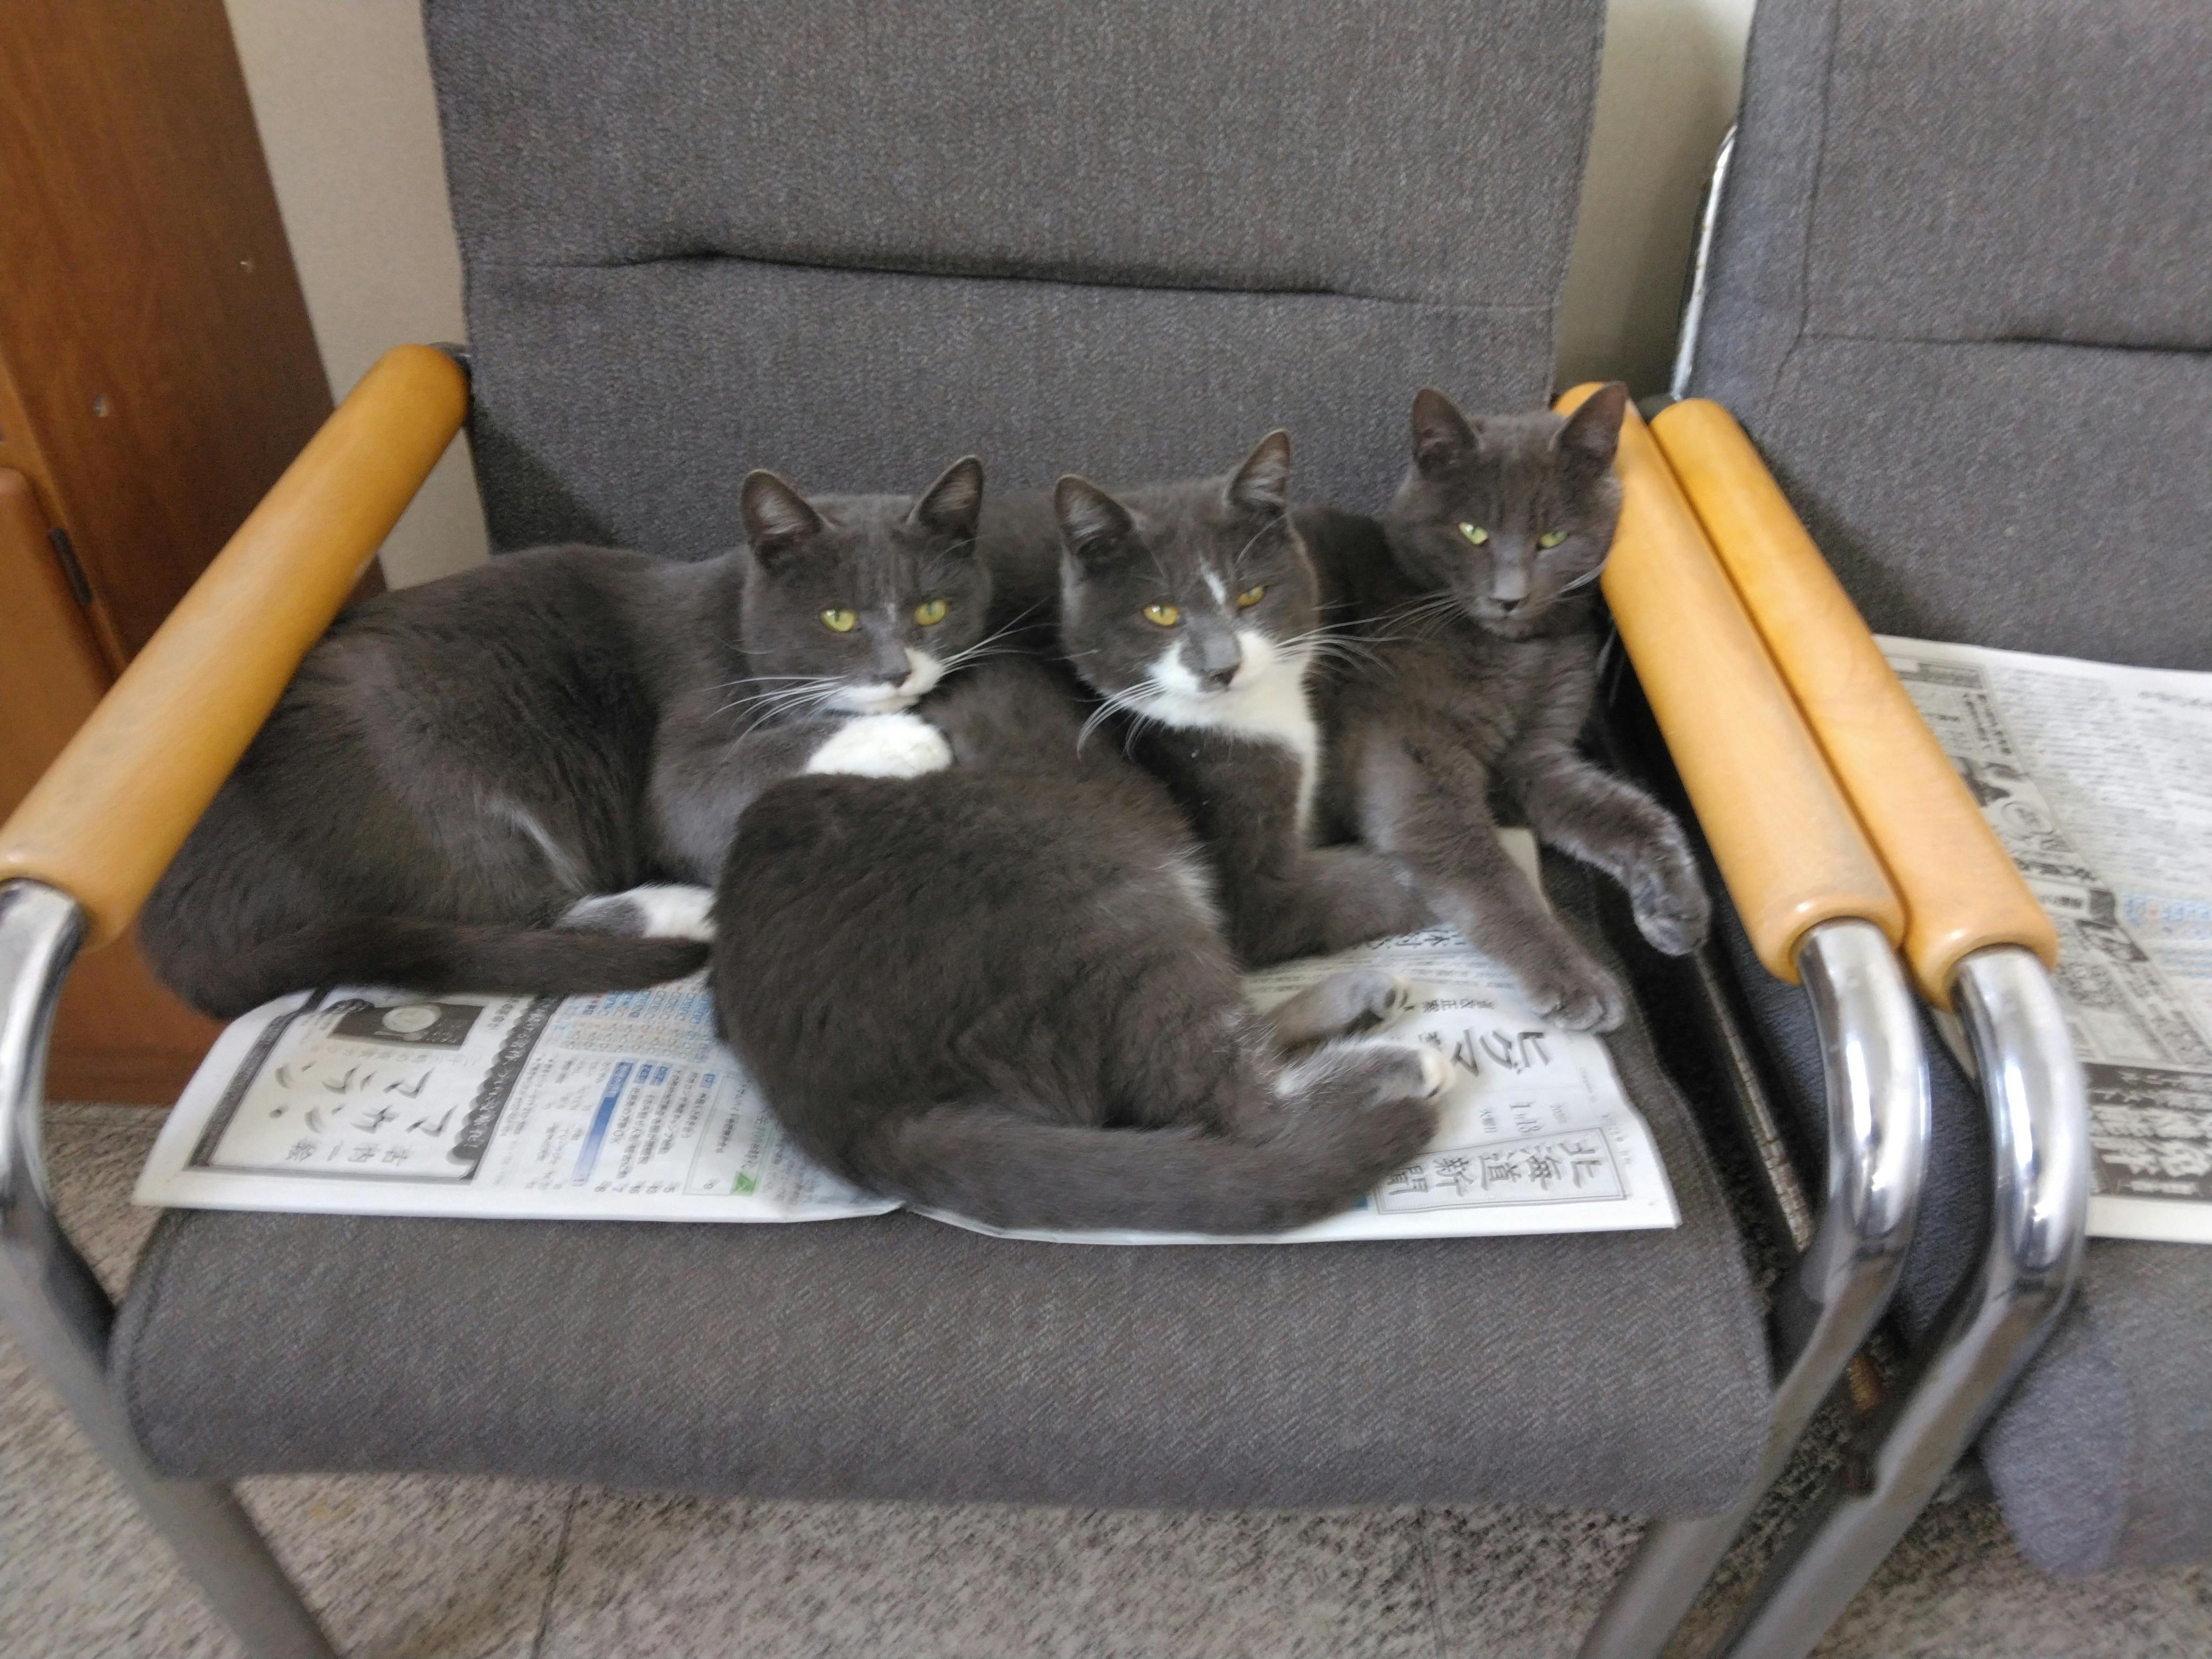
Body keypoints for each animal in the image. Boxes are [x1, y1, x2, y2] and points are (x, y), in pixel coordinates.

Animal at [141, 457, 992, 1018]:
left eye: (932, 609)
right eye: (837, 618)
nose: (896, 674)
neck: (737, 621)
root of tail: (179, 922)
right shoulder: (691, 708)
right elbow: (702, 794)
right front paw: (902, 740)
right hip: (425, 771)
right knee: (509, 917)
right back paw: (683, 906)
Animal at [713, 651, 1452, 1234]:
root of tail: (852, 1118)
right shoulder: (1260, 887)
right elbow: (1364, 887)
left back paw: (1364, 997)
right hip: (1105, 903)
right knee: (1237, 1096)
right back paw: (1403, 1064)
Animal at [1306, 383, 1710, 1031]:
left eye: (1553, 539)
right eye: (1472, 531)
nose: (1509, 598)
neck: (1522, 654)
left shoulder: (1537, 754)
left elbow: (1632, 812)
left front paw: (1677, 907)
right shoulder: (1403, 743)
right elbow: (1480, 865)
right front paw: (1573, 978)